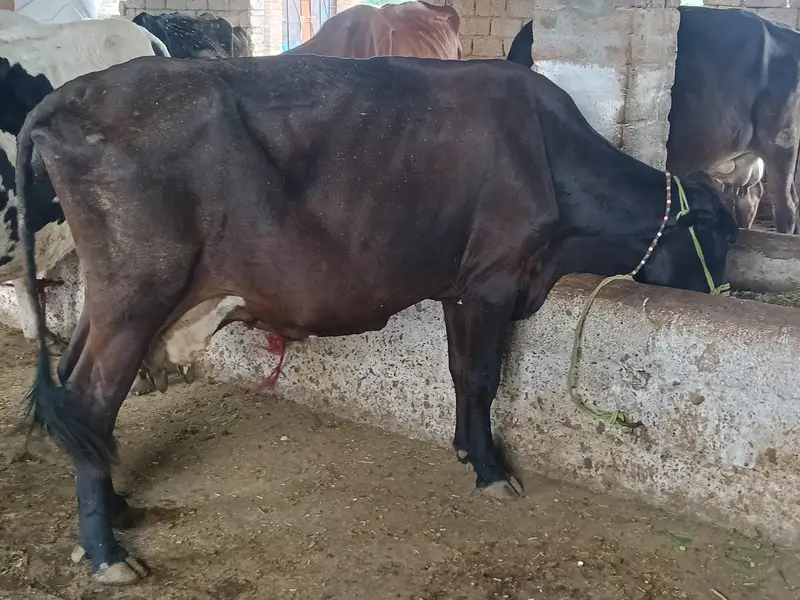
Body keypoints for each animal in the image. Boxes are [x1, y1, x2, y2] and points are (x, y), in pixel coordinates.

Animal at [17, 54, 737, 584]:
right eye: (721, 234)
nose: (724, 290)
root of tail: (70, 95)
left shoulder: (460, 288)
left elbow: (460, 373)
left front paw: (465, 449)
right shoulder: (493, 282)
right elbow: (483, 377)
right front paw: (492, 471)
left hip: (110, 300)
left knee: (76, 391)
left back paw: (114, 508)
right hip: (139, 291)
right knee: (91, 397)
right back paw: (107, 553)